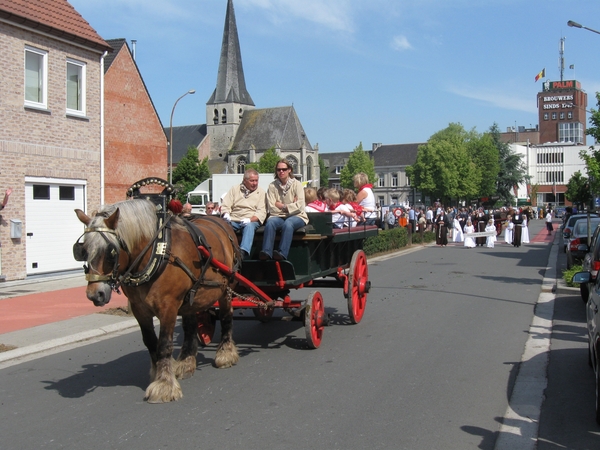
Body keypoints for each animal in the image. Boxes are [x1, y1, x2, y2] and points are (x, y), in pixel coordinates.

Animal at [75, 199, 241, 402]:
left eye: (111, 252)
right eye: (83, 250)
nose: (94, 294)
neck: (157, 253)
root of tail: (221, 222)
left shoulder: (168, 307)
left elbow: (164, 344)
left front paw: (164, 385)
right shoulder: (139, 309)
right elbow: (150, 341)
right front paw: (159, 373)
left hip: (226, 289)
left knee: (226, 317)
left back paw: (225, 353)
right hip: (192, 297)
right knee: (190, 326)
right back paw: (186, 361)